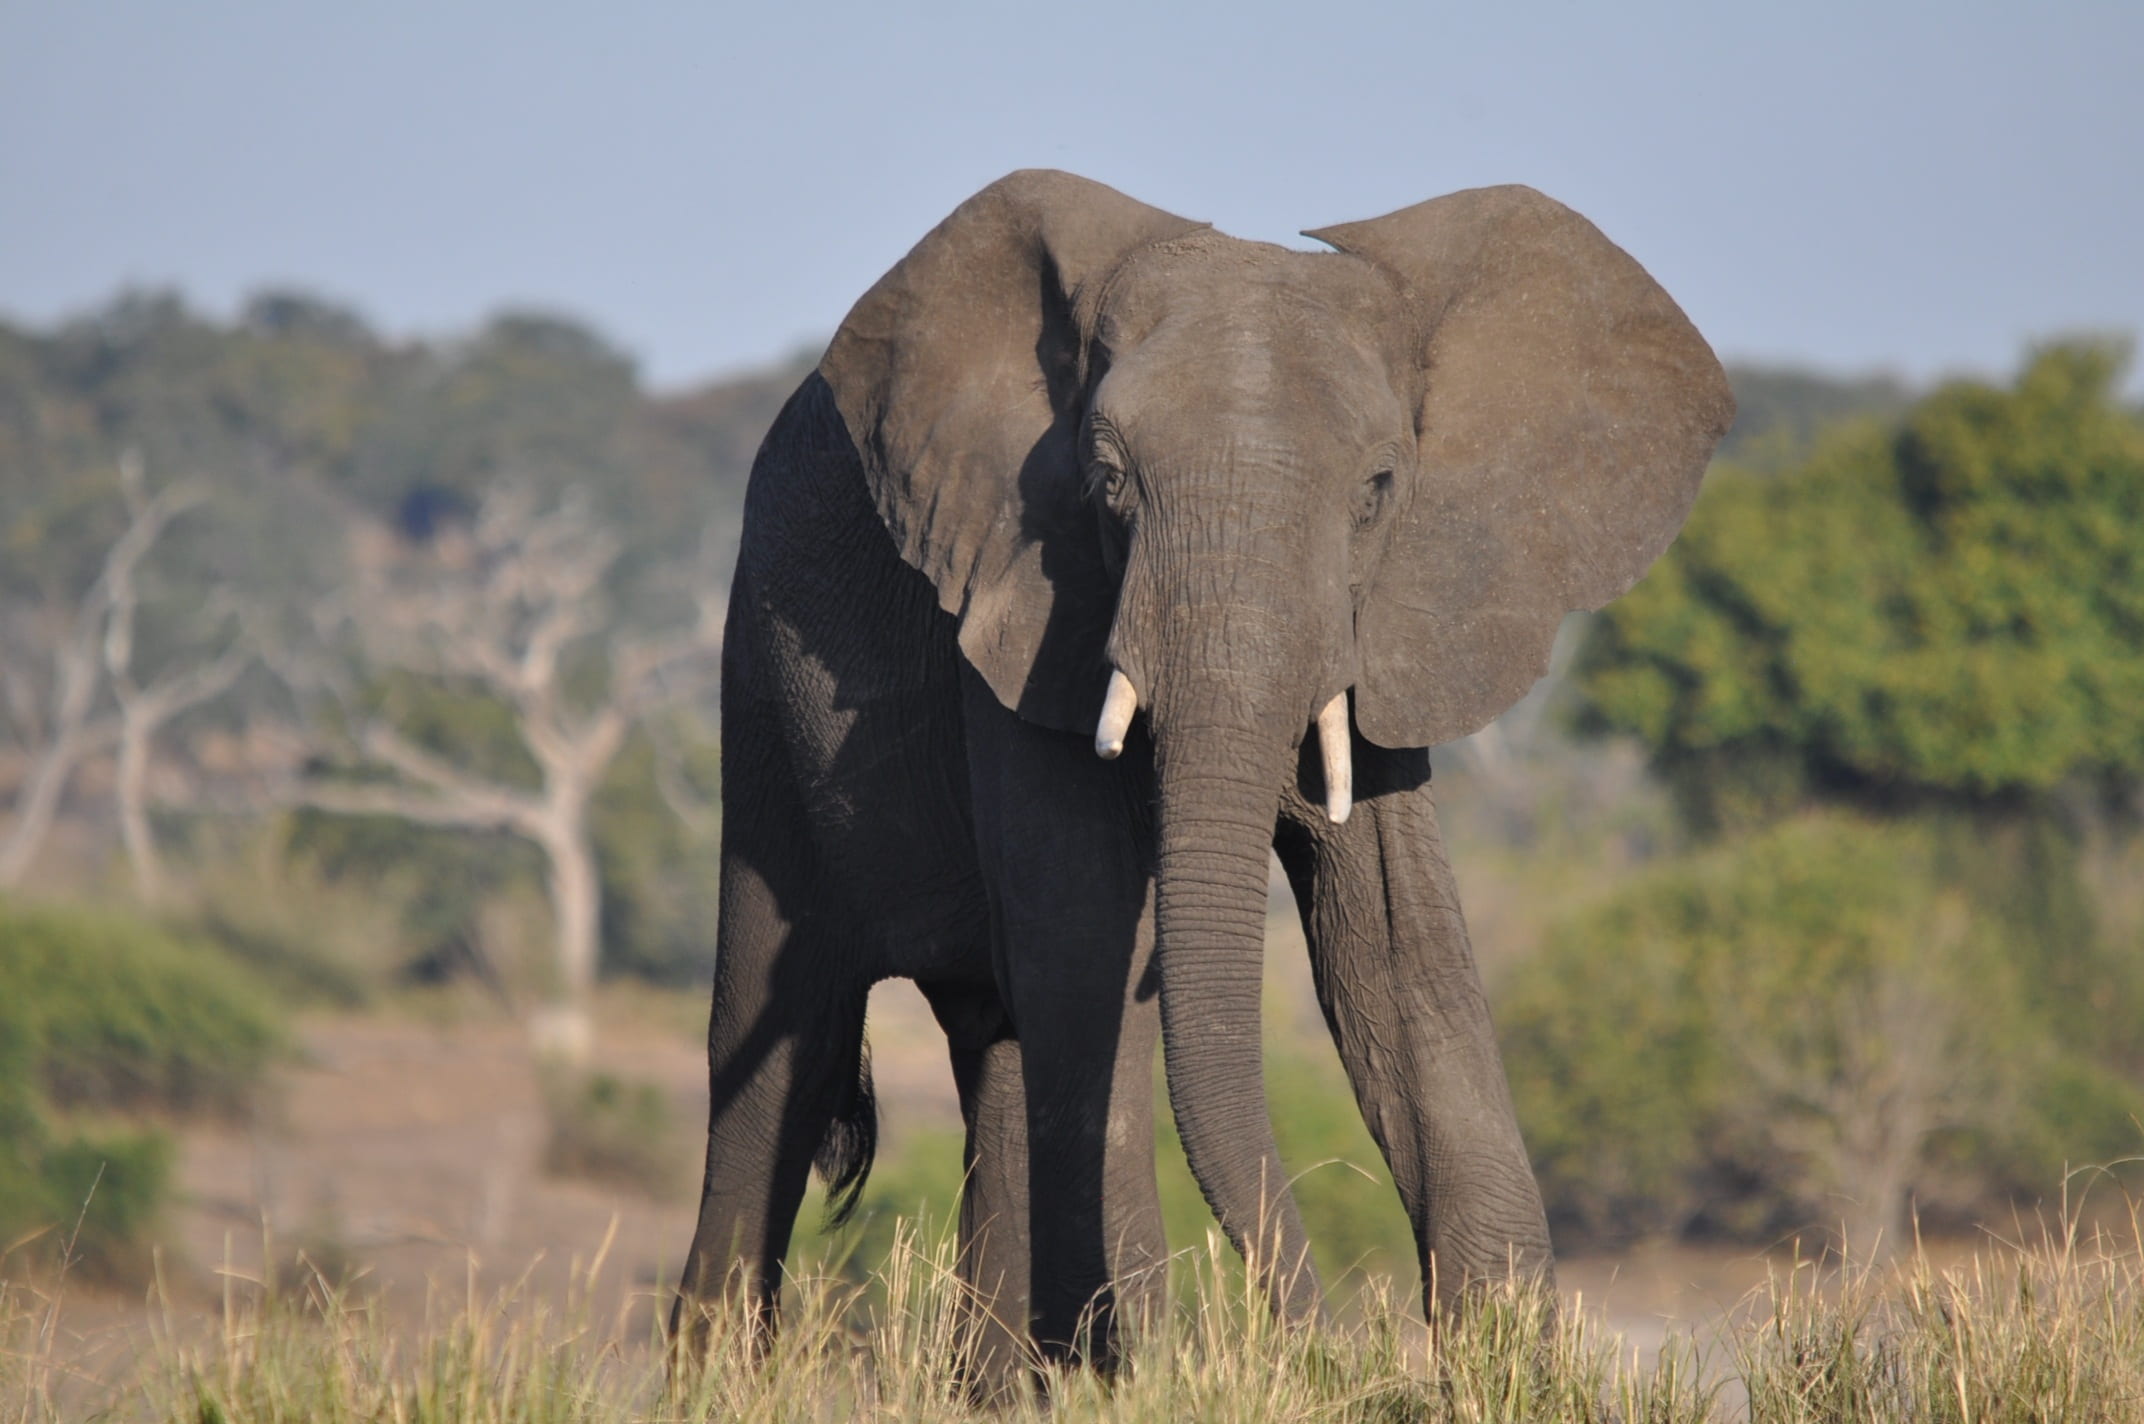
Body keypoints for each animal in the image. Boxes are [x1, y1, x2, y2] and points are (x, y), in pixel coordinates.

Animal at [673, 170, 1733, 1375]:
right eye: (1105, 481)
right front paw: (1151, 1373)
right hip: (758, 686)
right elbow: (1092, 950)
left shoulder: (1381, 624)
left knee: (1001, 1051)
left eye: (1378, 488)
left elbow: (1395, 953)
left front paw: (1509, 1361)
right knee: (779, 1061)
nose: (1328, 1344)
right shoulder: (1022, 604)